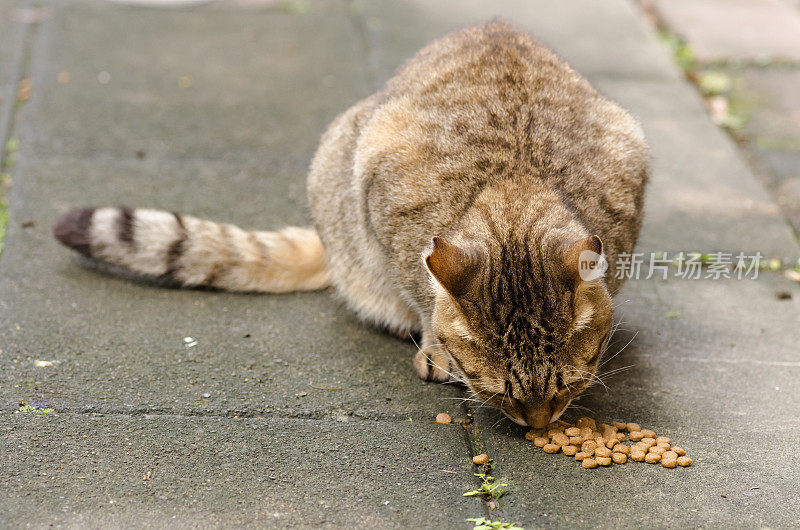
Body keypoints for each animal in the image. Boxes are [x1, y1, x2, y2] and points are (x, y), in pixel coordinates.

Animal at [53, 19, 648, 428]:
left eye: (566, 387)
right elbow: (423, 295)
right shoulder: (386, 201)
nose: (538, 425)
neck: (514, 182)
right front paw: (436, 347)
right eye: (500, 393)